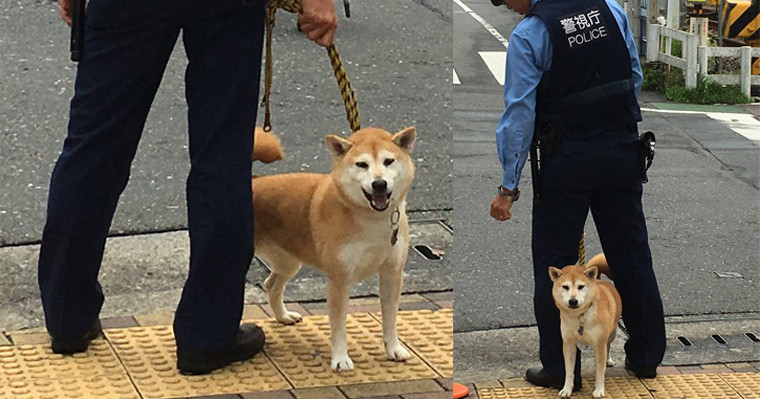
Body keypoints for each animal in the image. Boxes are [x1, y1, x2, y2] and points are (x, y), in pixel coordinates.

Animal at [251, 127, 416, 372]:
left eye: (388, 161)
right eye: (361, 164)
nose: (379, 184)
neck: (371, 220)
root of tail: (253, 181)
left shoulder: (392, 273)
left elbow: (390, 318)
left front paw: (393, 349)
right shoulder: (340, 278)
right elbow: (338, 326)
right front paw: (340, 359)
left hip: (288, 261)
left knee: (271, 285)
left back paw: (284, 316)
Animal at [548, 255, 620, 398]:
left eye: (581, 286)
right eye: (565, 287)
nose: (573, 301)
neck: (580, 315)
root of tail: (599, 279)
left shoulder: (599, 344)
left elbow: (600, 371)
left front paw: (599, 390)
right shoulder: (568, 343)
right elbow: (569, 370)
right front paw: (567, 389)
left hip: (611, 333)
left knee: (608, 346)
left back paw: (608, 360)